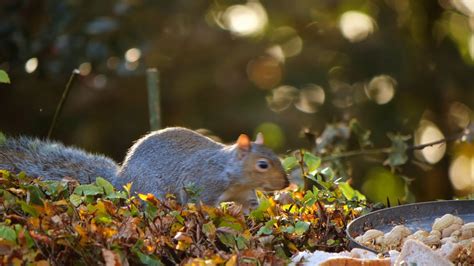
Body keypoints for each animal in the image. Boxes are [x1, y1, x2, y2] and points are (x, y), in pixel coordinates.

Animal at [0, 127, 288, 210]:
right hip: (152, 190)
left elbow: (251, 207)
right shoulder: (203, 184)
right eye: (263, 165)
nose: (285, 184)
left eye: (276, 157)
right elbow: (204, 206)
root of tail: (120, 179)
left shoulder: (244, 193)